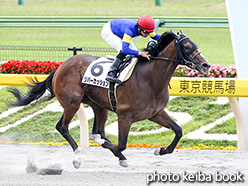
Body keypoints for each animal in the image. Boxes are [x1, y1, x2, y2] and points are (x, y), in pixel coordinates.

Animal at [8, 30, 211, 167]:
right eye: (187, 46)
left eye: (194, 43)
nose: (206, 65)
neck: (149, 79)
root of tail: (60, 67)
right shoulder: (125, 115)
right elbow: (120, 145)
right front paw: (114, 150)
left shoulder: (156, 113)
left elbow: (178, 130)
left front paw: (160, 150)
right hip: (72, 102)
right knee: (62, 127)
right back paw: (79, 154)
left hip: (99, 106)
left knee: (98, 130)